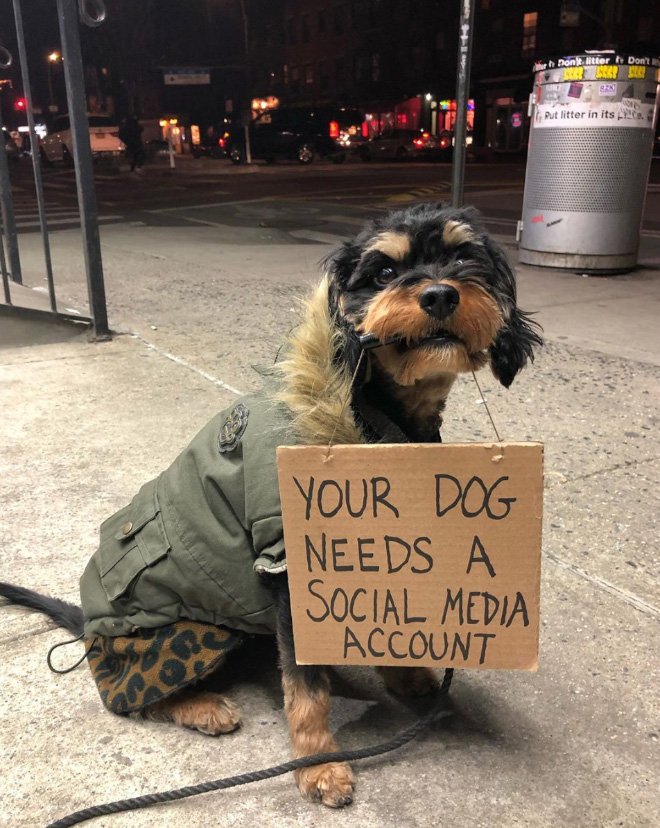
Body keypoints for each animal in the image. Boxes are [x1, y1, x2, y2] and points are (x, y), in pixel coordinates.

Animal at [0, 202, 540, 808]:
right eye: (382, 272)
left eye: (464, 258)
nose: (441, 294)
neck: (370, 409)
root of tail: (91, 624)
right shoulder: (289, 566)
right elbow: (305, 686)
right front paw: (318, 764)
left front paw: (404, 674)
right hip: (183, 633)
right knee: (132, 699)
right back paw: (200, 706)